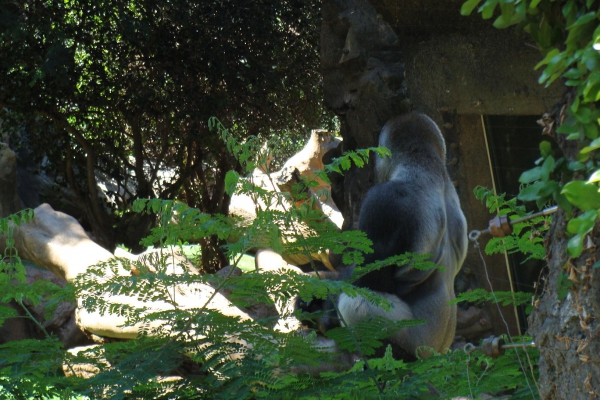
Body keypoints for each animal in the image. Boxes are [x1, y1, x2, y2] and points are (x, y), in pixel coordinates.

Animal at [338, 112, 468, 360]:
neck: (430, 167)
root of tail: (437, 354)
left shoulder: (384, 201)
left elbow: (369, 281)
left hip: (416, 347)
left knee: (356, 303)